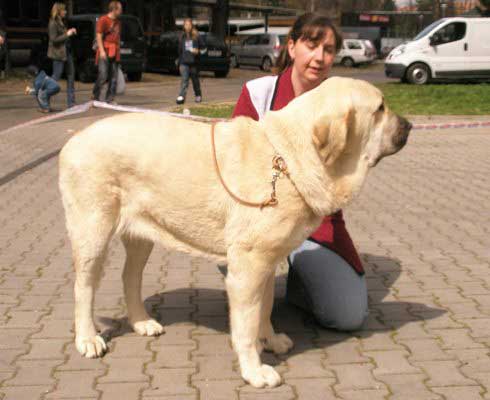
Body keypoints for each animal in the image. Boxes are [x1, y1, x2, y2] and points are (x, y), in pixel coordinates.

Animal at [58, 77, 410, 388]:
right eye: (380, 108)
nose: (408, 125)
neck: (287, 159)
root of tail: (74, 139)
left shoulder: (267, 262)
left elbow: (265, 308)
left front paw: (270, 340)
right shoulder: (248, 267)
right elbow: (246, 325)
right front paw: (254, 370)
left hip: (141, 235)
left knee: (129, 277)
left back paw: (141, 321)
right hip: (93, 231)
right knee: (83, 288)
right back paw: (88, 338)